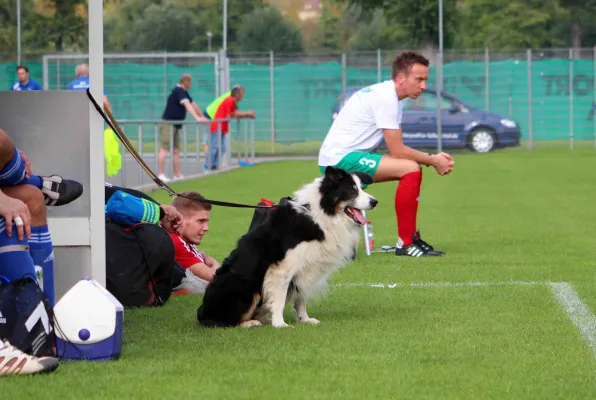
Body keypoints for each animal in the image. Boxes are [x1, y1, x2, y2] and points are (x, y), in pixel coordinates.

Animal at [198, 166, 380, 328]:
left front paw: (304, 319)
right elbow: (279, 299)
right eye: (351, 190)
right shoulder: (282, 268)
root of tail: (201, 312)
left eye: (362, 188)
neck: (321, 214)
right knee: (224, 322)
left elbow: (301, 297)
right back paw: (250, 323)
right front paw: (280, 324)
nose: (375, 202)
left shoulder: (306, 268)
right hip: (243, 286)